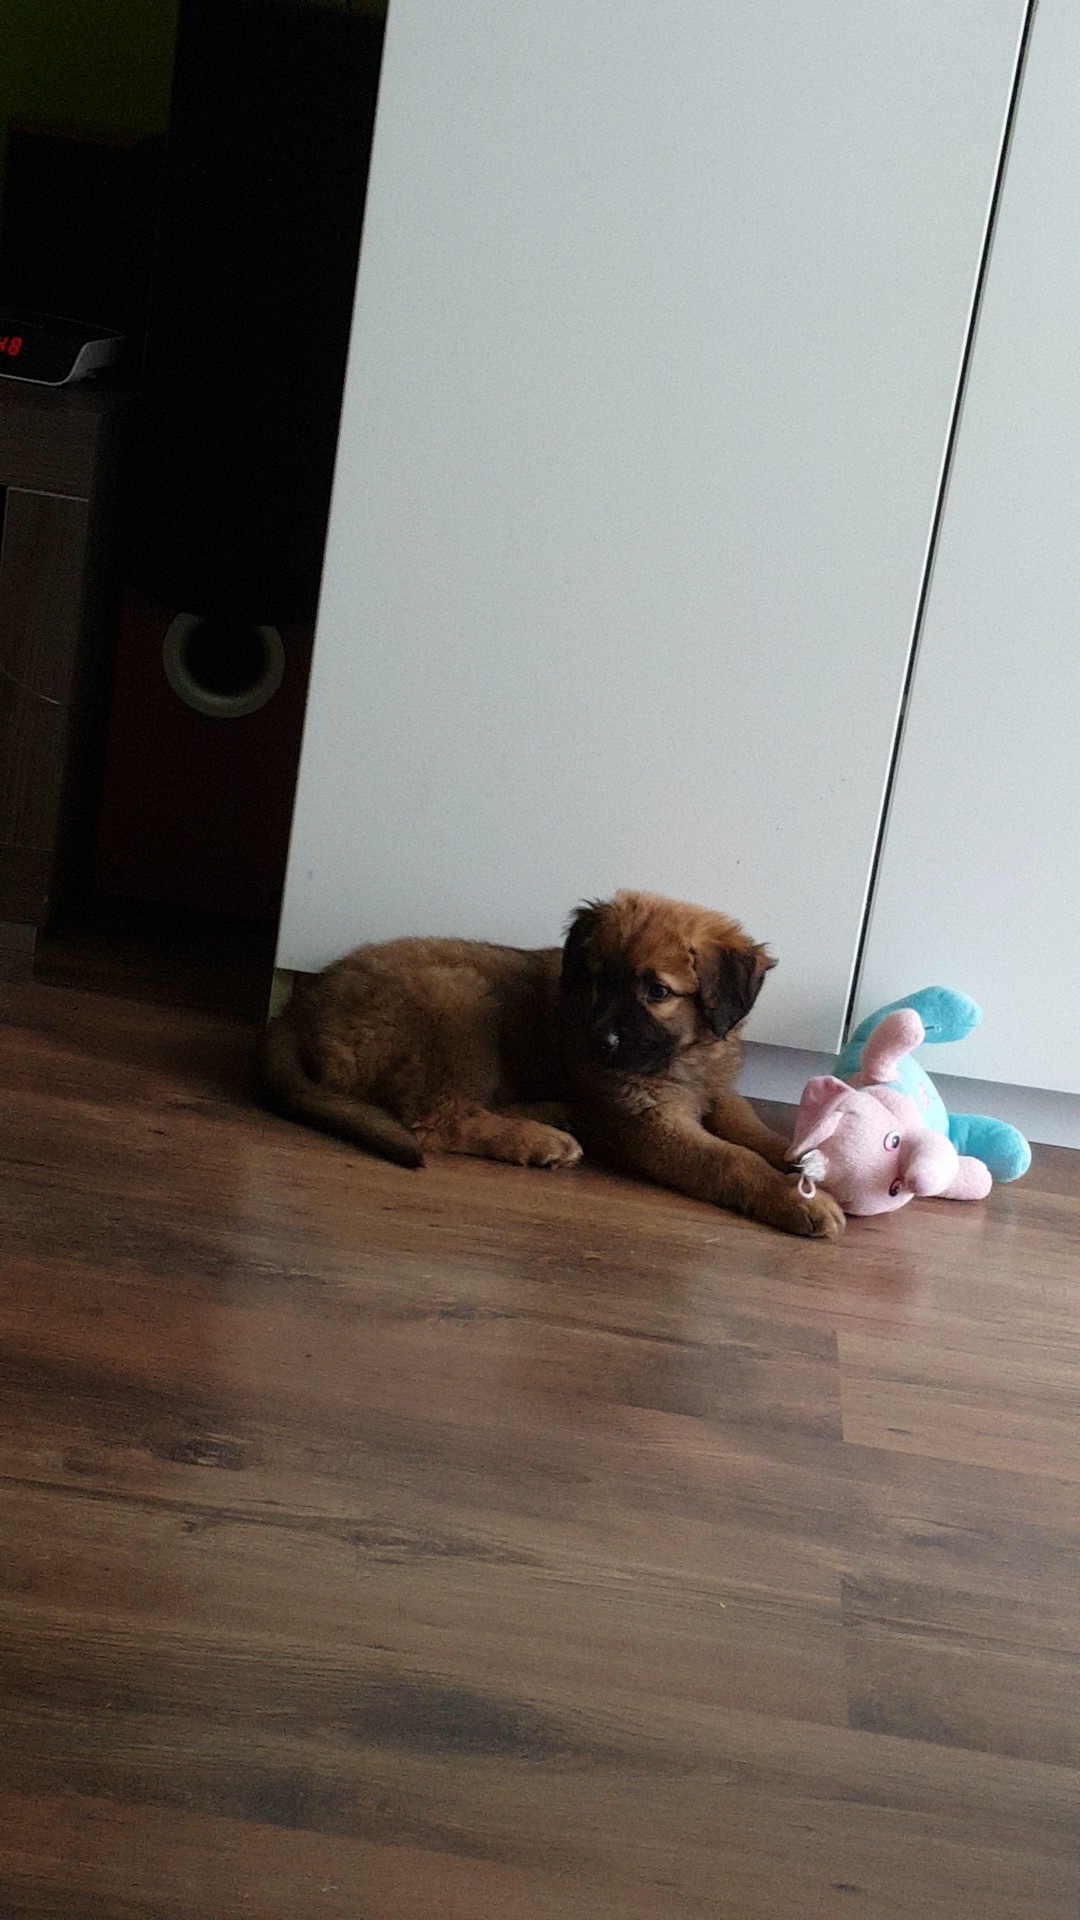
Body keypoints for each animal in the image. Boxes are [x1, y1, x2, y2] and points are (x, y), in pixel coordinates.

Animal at [260, 890, 843, 1239]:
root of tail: (303, 1004)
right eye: (597, 979)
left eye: (656, 991)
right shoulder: (649, 1123)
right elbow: (731, 1159)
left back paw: (554, 1114)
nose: (599, 1042)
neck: (686, 1053)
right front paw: (798, 1200)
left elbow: (756, 1133)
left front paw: (801, 1161)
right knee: (437, 1120)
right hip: (459, 997)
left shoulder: (718, 1094)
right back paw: (541, 1139)